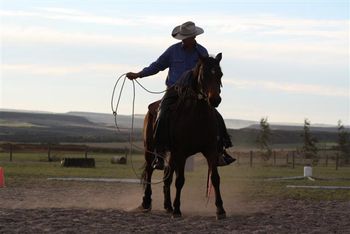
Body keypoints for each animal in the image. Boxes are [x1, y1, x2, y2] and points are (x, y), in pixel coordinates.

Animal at [140, 53, 226, 219]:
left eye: (220, 74)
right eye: (203, 75)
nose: (215, 99)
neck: (197, 117)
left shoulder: (211, 150)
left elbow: (215, 178)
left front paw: (220, 209)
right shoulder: (181, 153)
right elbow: (180, 180)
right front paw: (177, 210)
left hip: (171, 154)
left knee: (167, 177)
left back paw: (168, 206)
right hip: (150, 150)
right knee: (149, 172)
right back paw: (147, 202)